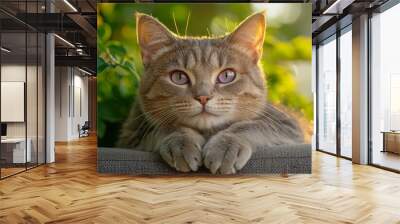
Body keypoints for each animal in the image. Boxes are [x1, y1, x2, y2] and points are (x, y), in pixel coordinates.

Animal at [117, 11, 304, 174]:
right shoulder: (131, 134)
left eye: (227, 75)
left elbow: (250, 126)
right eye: (179, 77)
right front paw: (181, 142)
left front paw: (226, 146)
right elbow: (166, 126)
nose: (203, 97)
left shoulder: (289, 126)